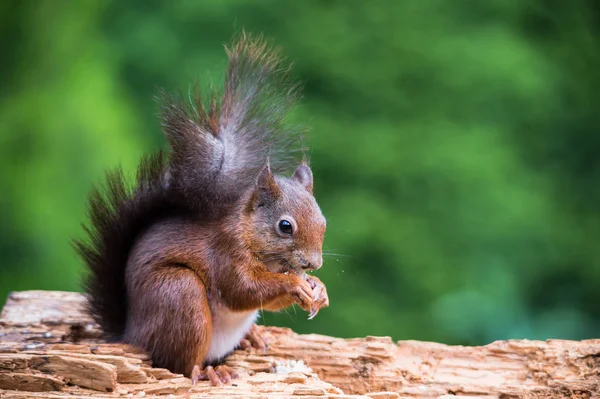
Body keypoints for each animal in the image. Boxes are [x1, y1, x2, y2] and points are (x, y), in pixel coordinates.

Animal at [74, 35, 330, 388]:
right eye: (285, 226)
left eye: (323, 223)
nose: (314, 264)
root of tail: (132, 333)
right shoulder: (225, 254)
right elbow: (243, 290)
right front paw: (296, 285)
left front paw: (319, 289)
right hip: (181, 295)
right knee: (179, 364)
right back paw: (208, 371)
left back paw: (251, 337)